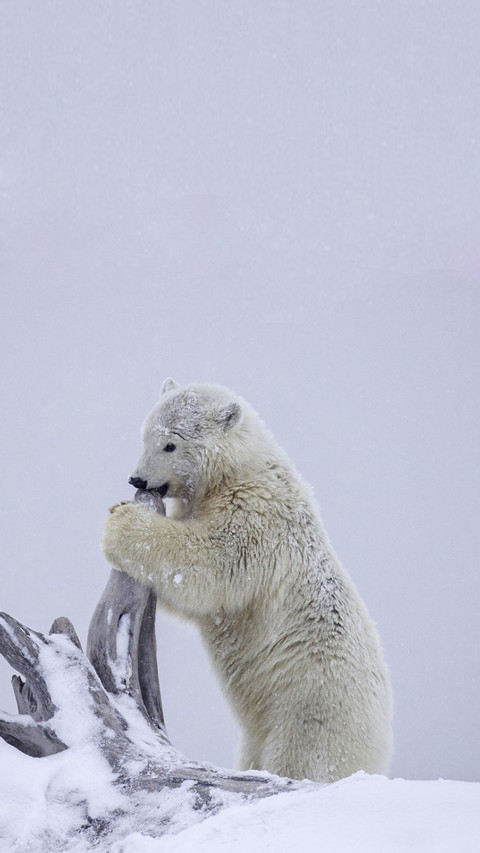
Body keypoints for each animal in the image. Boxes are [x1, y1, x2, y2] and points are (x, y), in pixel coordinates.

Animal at [102, 379, 393, 783]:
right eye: (145, 435)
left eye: (170, 443)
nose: (137, 479)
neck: (238, 470)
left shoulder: (255, 516)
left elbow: (208, 566)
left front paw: (121, 522)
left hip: (310, 707)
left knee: (303, 758)